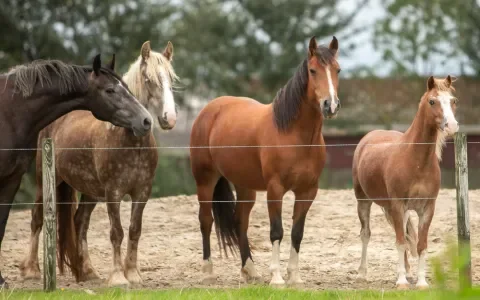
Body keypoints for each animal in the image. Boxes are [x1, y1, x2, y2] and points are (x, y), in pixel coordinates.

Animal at [19, 41, 179, 288]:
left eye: (171, 79)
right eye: (148, 79)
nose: (167, 118)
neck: (130, 141)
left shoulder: (142, 192)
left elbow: (134, 230)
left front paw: (133, 273)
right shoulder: (114, 193)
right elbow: (117, 232)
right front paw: (118, 277)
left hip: (91, 192)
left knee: (80, 222)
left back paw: (87, 271)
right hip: (45, 181)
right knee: (37, 218)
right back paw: (31, 271)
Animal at [190, 36, 342, 284]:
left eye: (338, 70)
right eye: (312, 71)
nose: (331, 105)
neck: (294, 135)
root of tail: (209, 109)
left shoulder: (307, 191)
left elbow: (297, 233)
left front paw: (295, 277)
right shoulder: (275, 189)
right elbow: (277, 231)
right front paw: (277, 278)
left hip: (245, 186)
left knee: (240, 221)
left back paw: (249, 269)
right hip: (205, 180)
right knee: (205, 220)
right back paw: (208, 271)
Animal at [352, 76, 458, 290]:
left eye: (453, 100)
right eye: (432, 101)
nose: (452, 126)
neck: (416, 161)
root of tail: (368, 137)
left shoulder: (426, 208)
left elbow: (420, 244)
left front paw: (421, 282)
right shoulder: (397, 204)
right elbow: (400, 242)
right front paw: (401, 282)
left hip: (402, 211)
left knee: (404, 233)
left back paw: (408, 273)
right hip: (364, 202)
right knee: (366, 234)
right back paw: (361, 274)